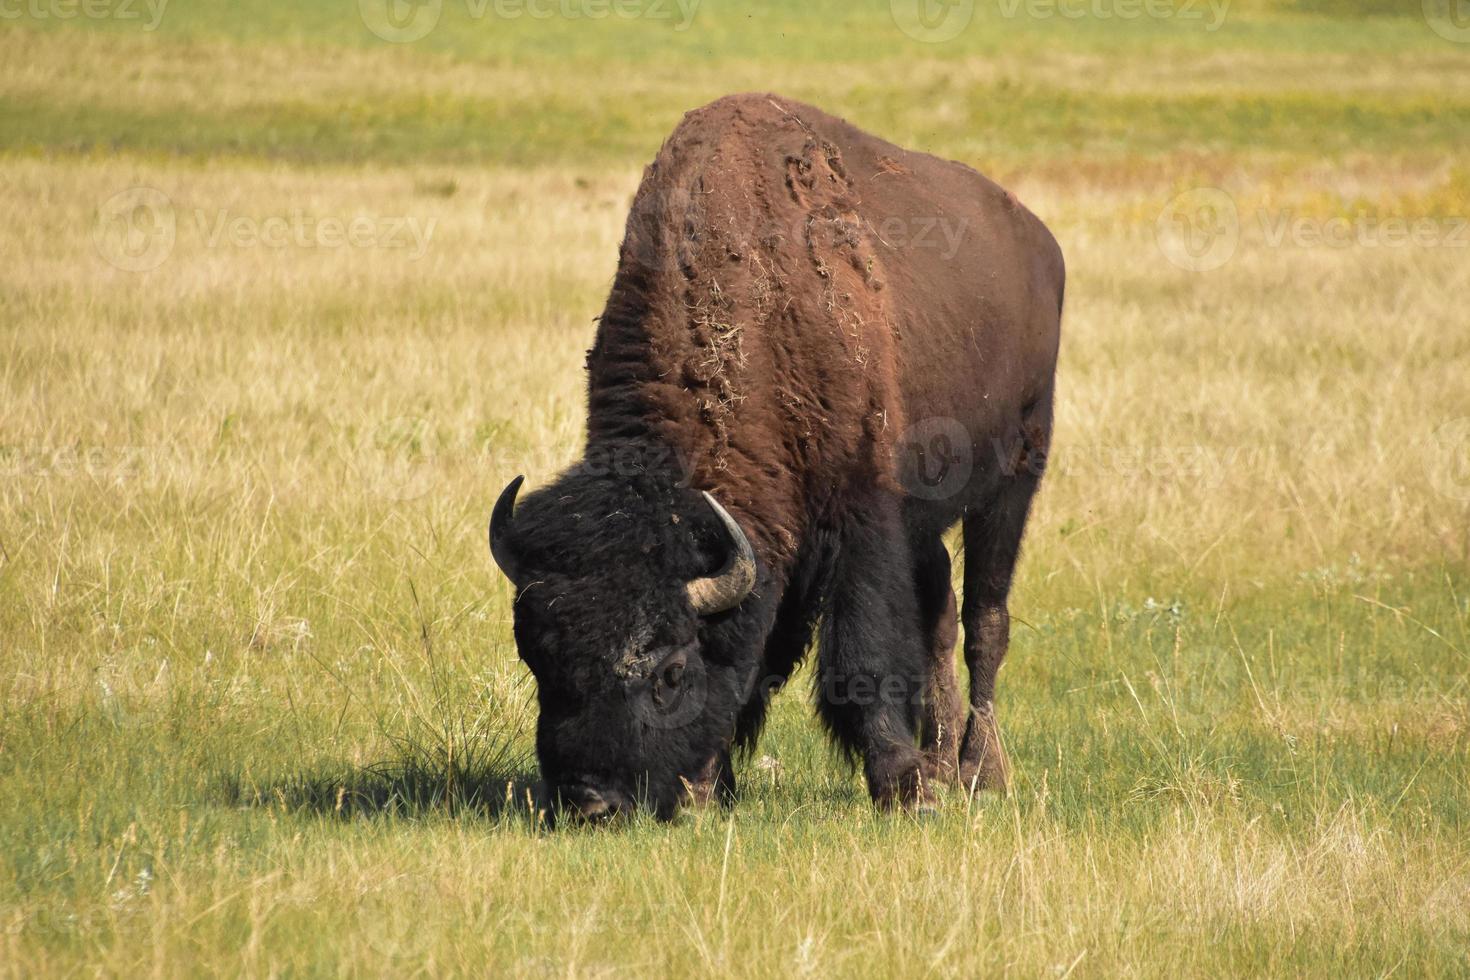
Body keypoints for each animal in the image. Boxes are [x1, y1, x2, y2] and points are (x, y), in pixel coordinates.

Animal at [488, 94, 1064, 822]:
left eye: (670, 671)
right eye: (537, 658)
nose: (591, 801)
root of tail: (1038, 240)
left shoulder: (860, 513)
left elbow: (863, 651)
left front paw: (901, 788)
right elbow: (764, 657)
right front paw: (712, 786)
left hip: (1015, 477)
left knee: (985, 619)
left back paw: (977, 772)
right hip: (929, 518)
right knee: (938, 614)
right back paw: (942, 763)